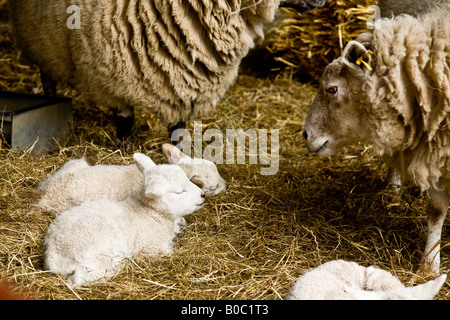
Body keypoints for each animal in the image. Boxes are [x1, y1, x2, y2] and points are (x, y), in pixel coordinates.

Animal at [8, 0, 326, 142]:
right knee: (47, 74)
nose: (323, 1)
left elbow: (178, 129)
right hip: (40, 39)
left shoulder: (183, 78)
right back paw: (51, 98)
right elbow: (125, 116)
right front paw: (123, 148)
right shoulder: (111, 74)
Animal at [43, 153, 205, 288]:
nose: (203, 195)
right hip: (103, 251)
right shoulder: (154, 248)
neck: (152, 214)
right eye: (180, 192)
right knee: (78, 279)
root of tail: (54, 255)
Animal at [302, 3, 450, 274]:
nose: (305, 134)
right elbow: (436, 210)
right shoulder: (436, 150)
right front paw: (429, 266)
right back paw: (392, 192)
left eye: (331, 88)